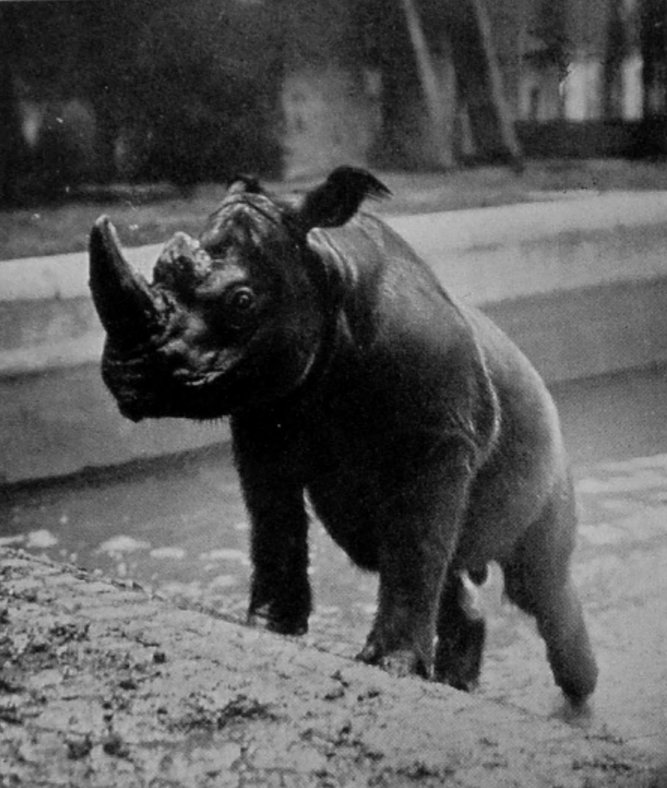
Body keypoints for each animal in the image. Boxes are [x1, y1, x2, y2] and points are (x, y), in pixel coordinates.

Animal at [89, 166, 597, 701]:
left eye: (242, 302)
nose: (125, 373)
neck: (329, 275)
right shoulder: (261, 422)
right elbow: (274, 523)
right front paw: (268, 627)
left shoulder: (440, 438)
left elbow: (415, 546)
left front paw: (391, 666)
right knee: (435, 565)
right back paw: (460, 684)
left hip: (551, 452)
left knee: (537, 582)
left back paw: (578, 693)